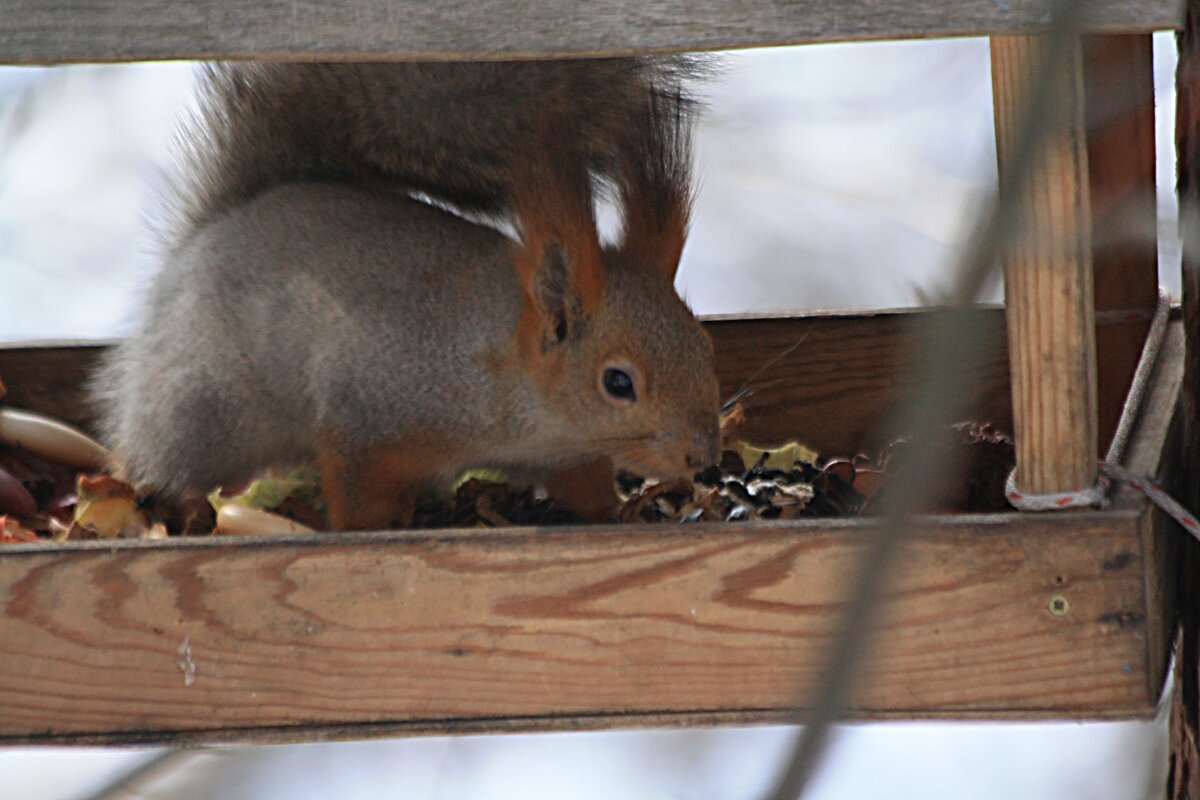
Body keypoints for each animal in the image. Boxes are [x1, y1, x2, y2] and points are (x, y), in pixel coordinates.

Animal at [93, 59, 720, 527]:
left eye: (705, 346)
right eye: (618, 383)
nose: (706, 458)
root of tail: (207, 233)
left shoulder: (569, 455)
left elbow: (584, 491)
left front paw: (618, 514)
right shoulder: (367, 412)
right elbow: (354, 484)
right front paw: (366, 530)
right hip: (197, 412)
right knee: (163, 461)